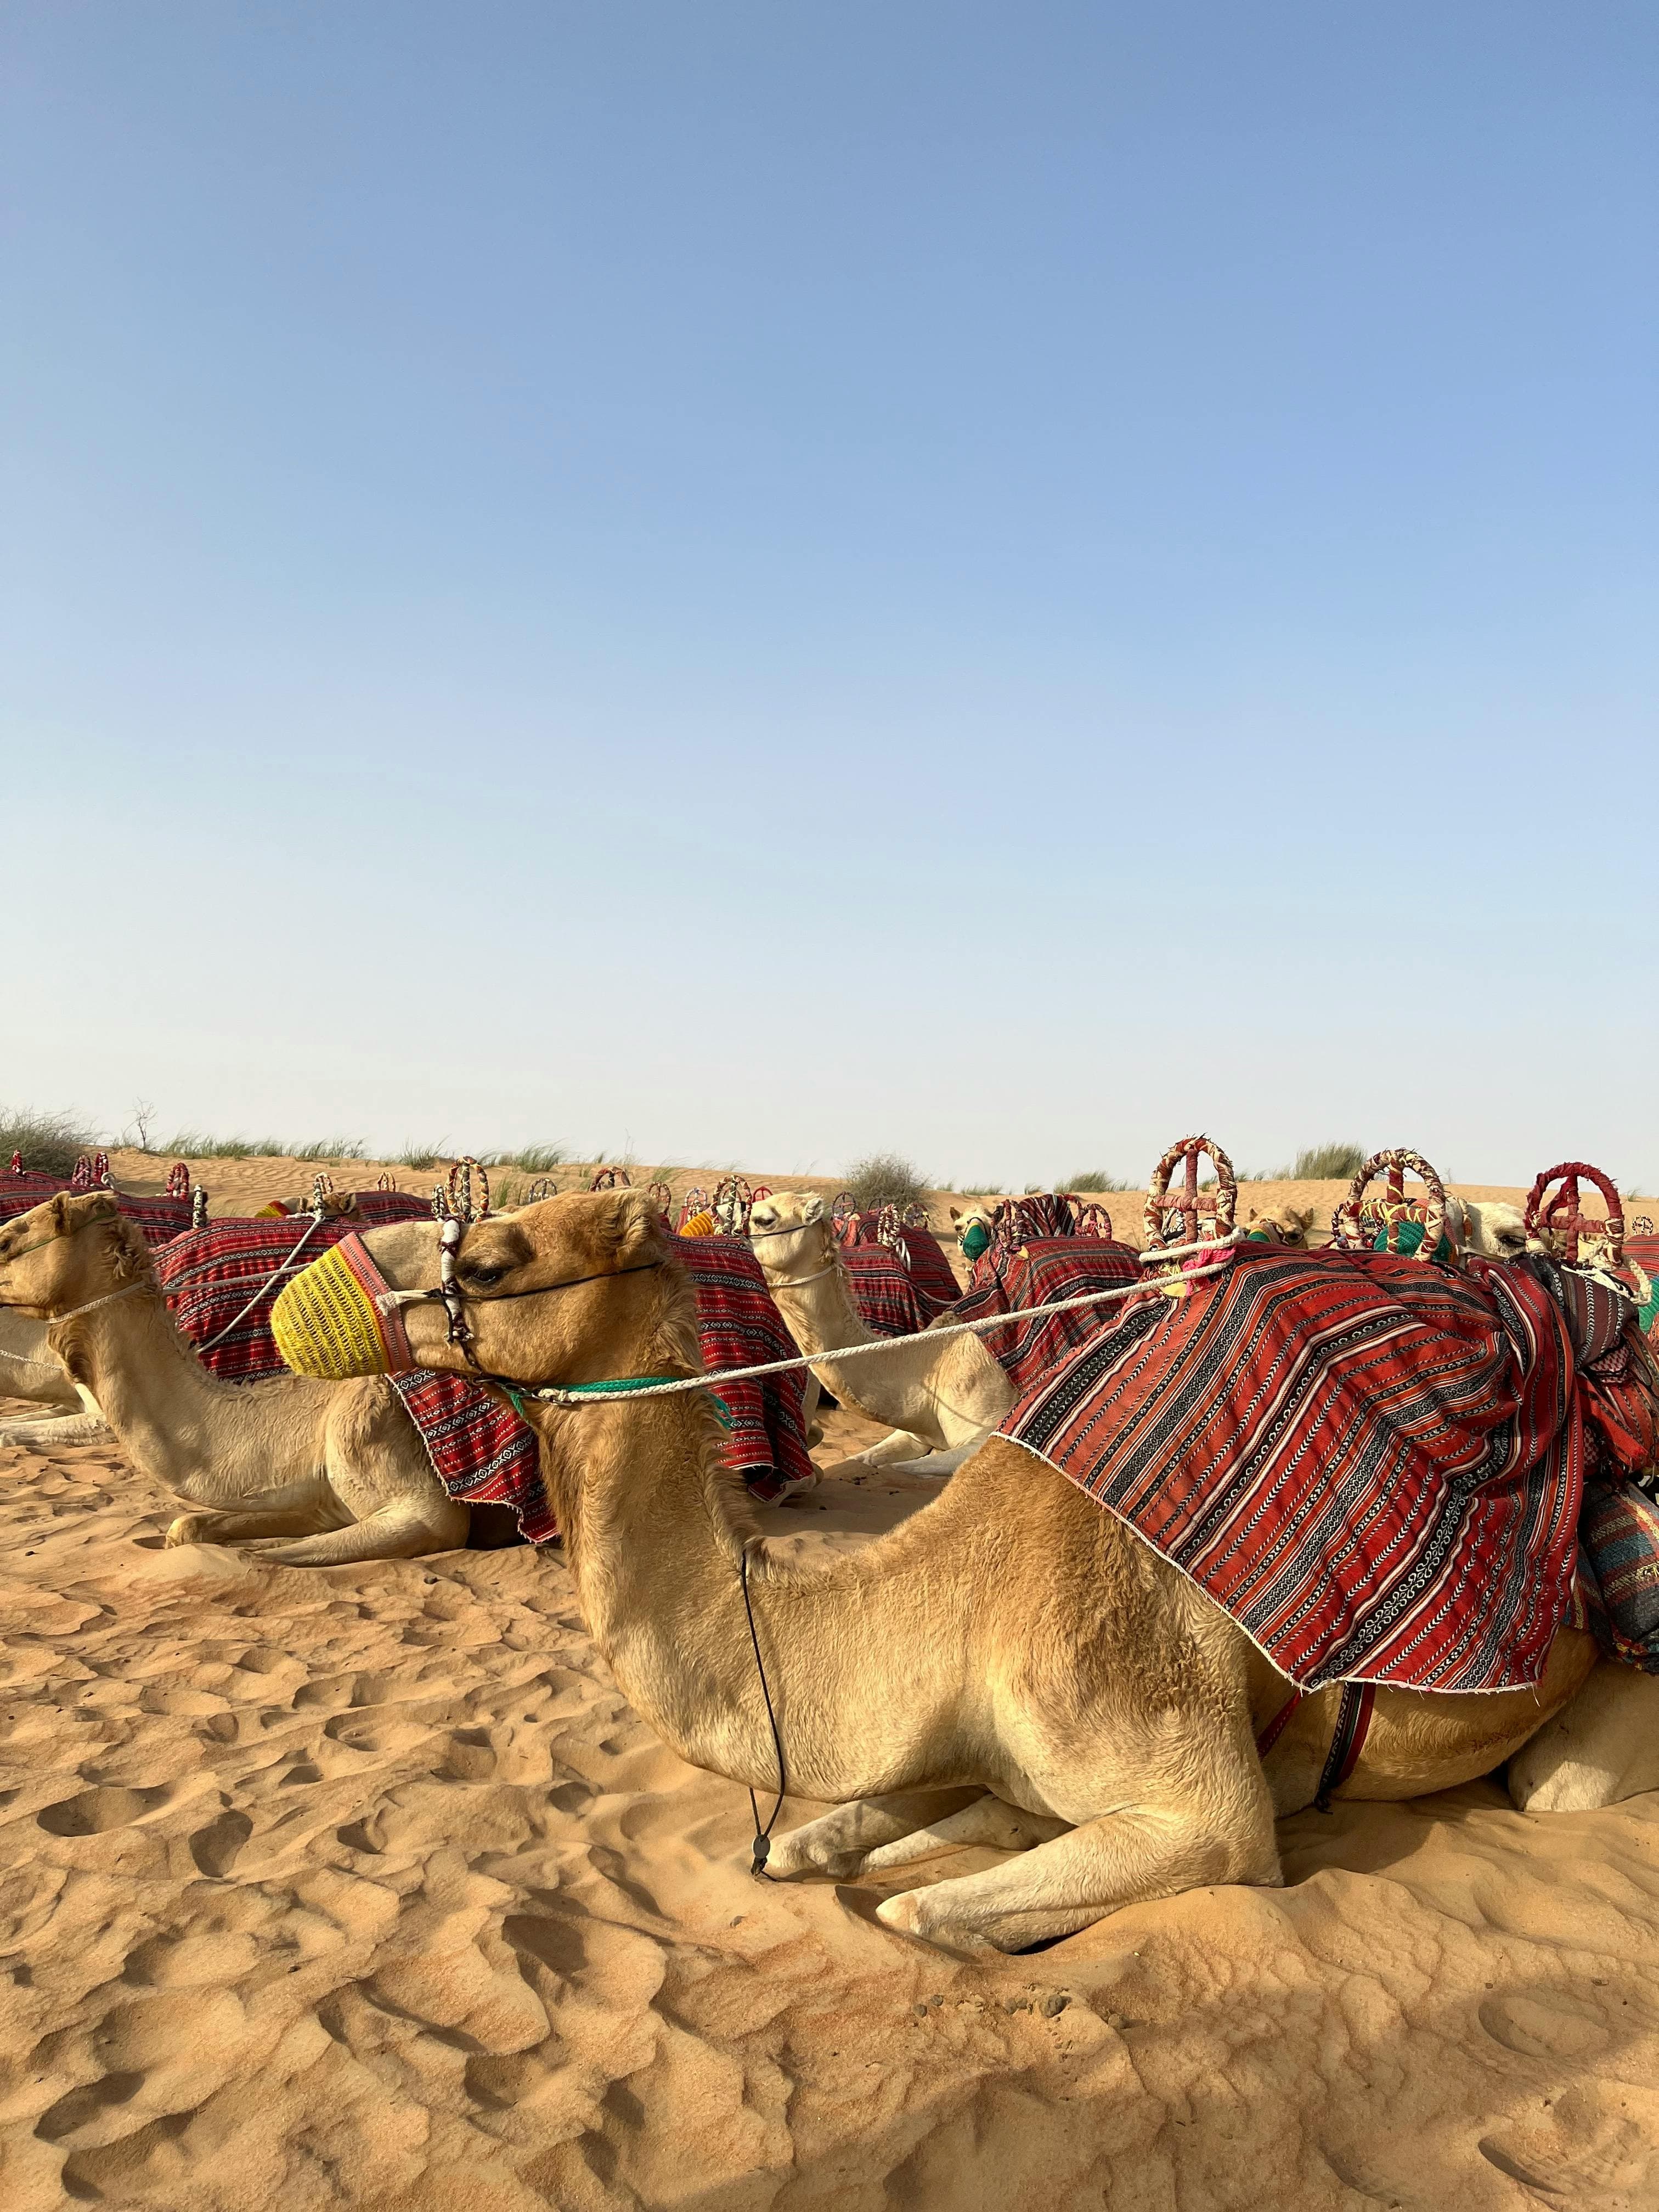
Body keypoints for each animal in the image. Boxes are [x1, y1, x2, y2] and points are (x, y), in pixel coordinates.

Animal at [357, 1188, 1604, 1954]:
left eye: (490, 1260)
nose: (348, 1279)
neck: (957, 1588)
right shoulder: (940, 1725)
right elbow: (817, 1836)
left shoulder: (1204, 1806)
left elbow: (922, 1909)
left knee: (1562, 1788)